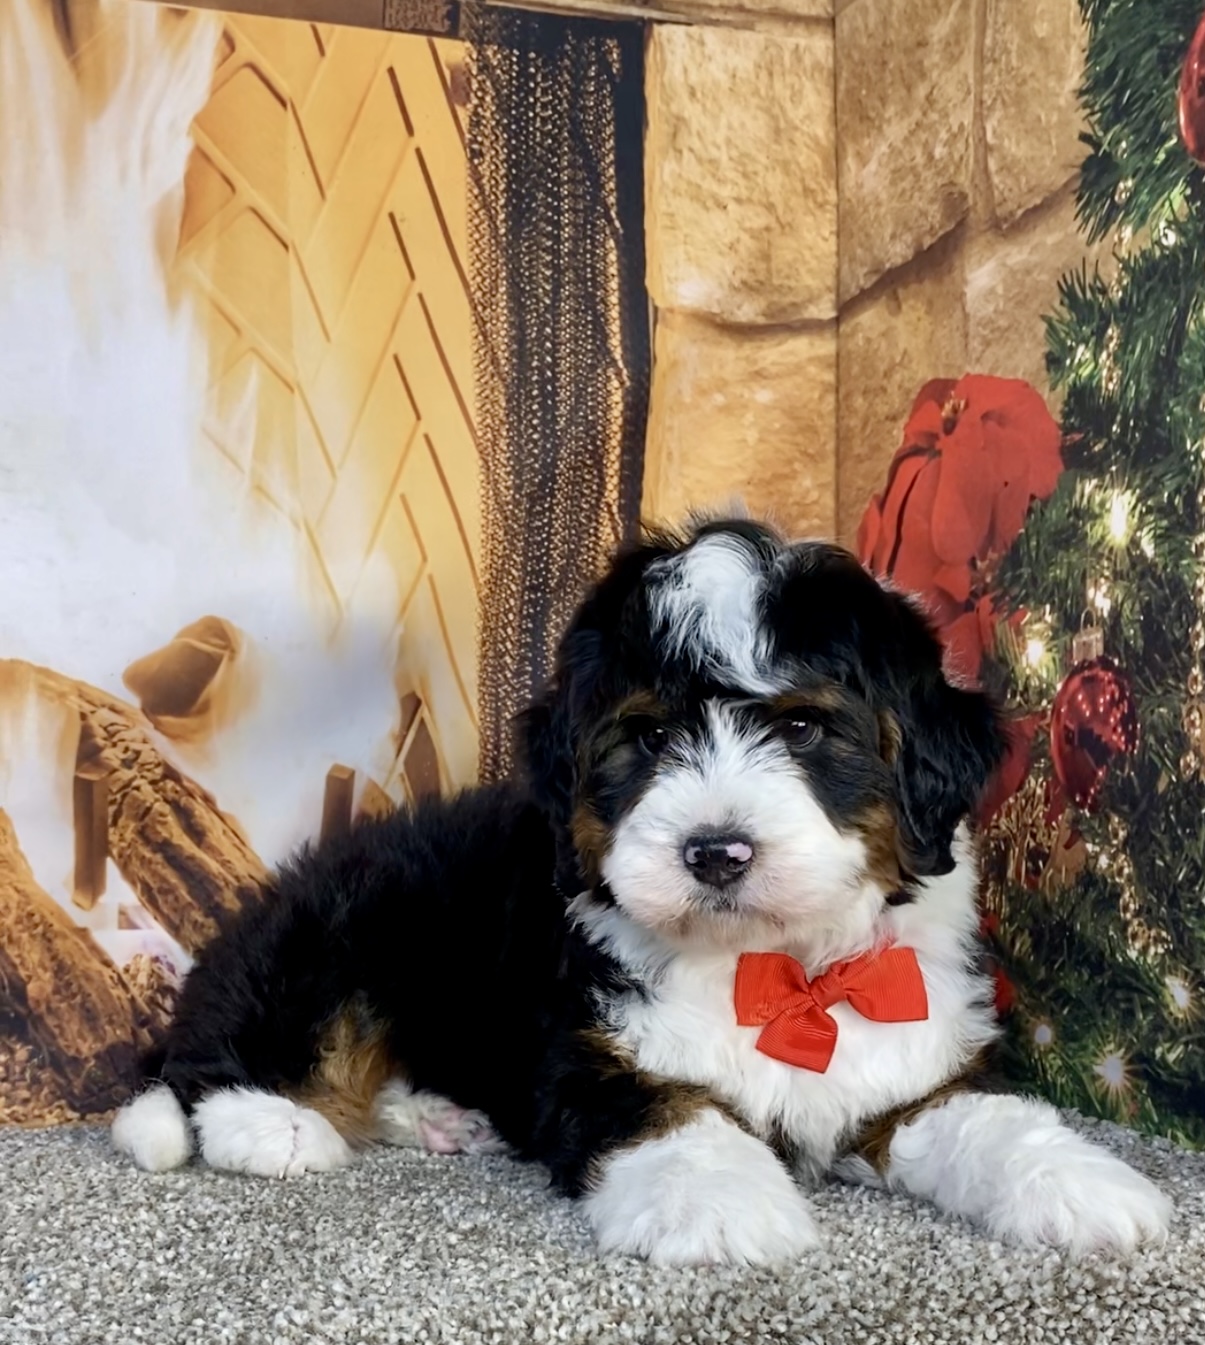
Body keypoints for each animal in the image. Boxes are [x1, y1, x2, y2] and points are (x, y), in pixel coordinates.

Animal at [112, 517, 1171, 1265]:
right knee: (230, 1052)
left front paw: (1082, 1184)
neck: (774, 967)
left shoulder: (912, 1059)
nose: (715, 851)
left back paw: (438, 1115)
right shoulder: (591, 1052)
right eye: (650, 738)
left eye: (801, 729)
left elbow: (987, 1117)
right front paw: (721, 1203)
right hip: (347, 924)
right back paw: (276, 1125)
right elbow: (672, 1112)